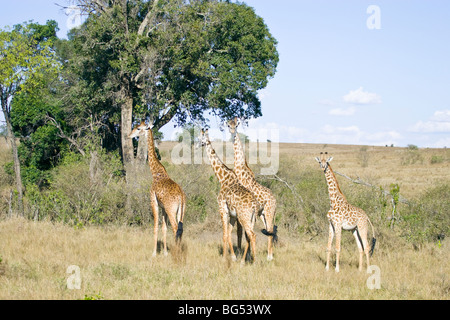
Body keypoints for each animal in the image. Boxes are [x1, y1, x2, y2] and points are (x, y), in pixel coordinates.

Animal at [129, 121, 185, 256]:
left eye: (138, 128)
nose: (129, 135)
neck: (156, 173)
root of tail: (181, 196)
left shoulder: (153, 201)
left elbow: (155, 227)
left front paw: (154, 253)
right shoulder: (163, 207)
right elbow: (164, 228)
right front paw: (164, 252)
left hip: (172, 210)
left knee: (175, 228)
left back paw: (176, 253)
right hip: (181, 211)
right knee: (181, 229)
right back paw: (179, 251)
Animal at [198, 129, 260, 264]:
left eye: (199, 138)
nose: (196, 145)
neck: (223, 178)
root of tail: (254, 206)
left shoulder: (222, 209)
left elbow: (225, 234)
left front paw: (224, 257)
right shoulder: (232, 214)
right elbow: (230, 234)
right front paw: (233, 256)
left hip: (244, 217)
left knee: (252, 235)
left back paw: (254, 261)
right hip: (251, 219)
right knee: (249, 235)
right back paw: (246, 260)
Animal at [229, 117, 278, 260]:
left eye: (236, 125)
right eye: (228, 125)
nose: (232, 132)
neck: (241, 170)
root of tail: (275, 199)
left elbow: (244, 232)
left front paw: (247, 255)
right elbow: (240, 231)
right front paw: (244, 253)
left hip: (269, 212)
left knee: (271, 229)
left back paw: (269, 257)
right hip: (262, 214)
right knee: (269, 230)